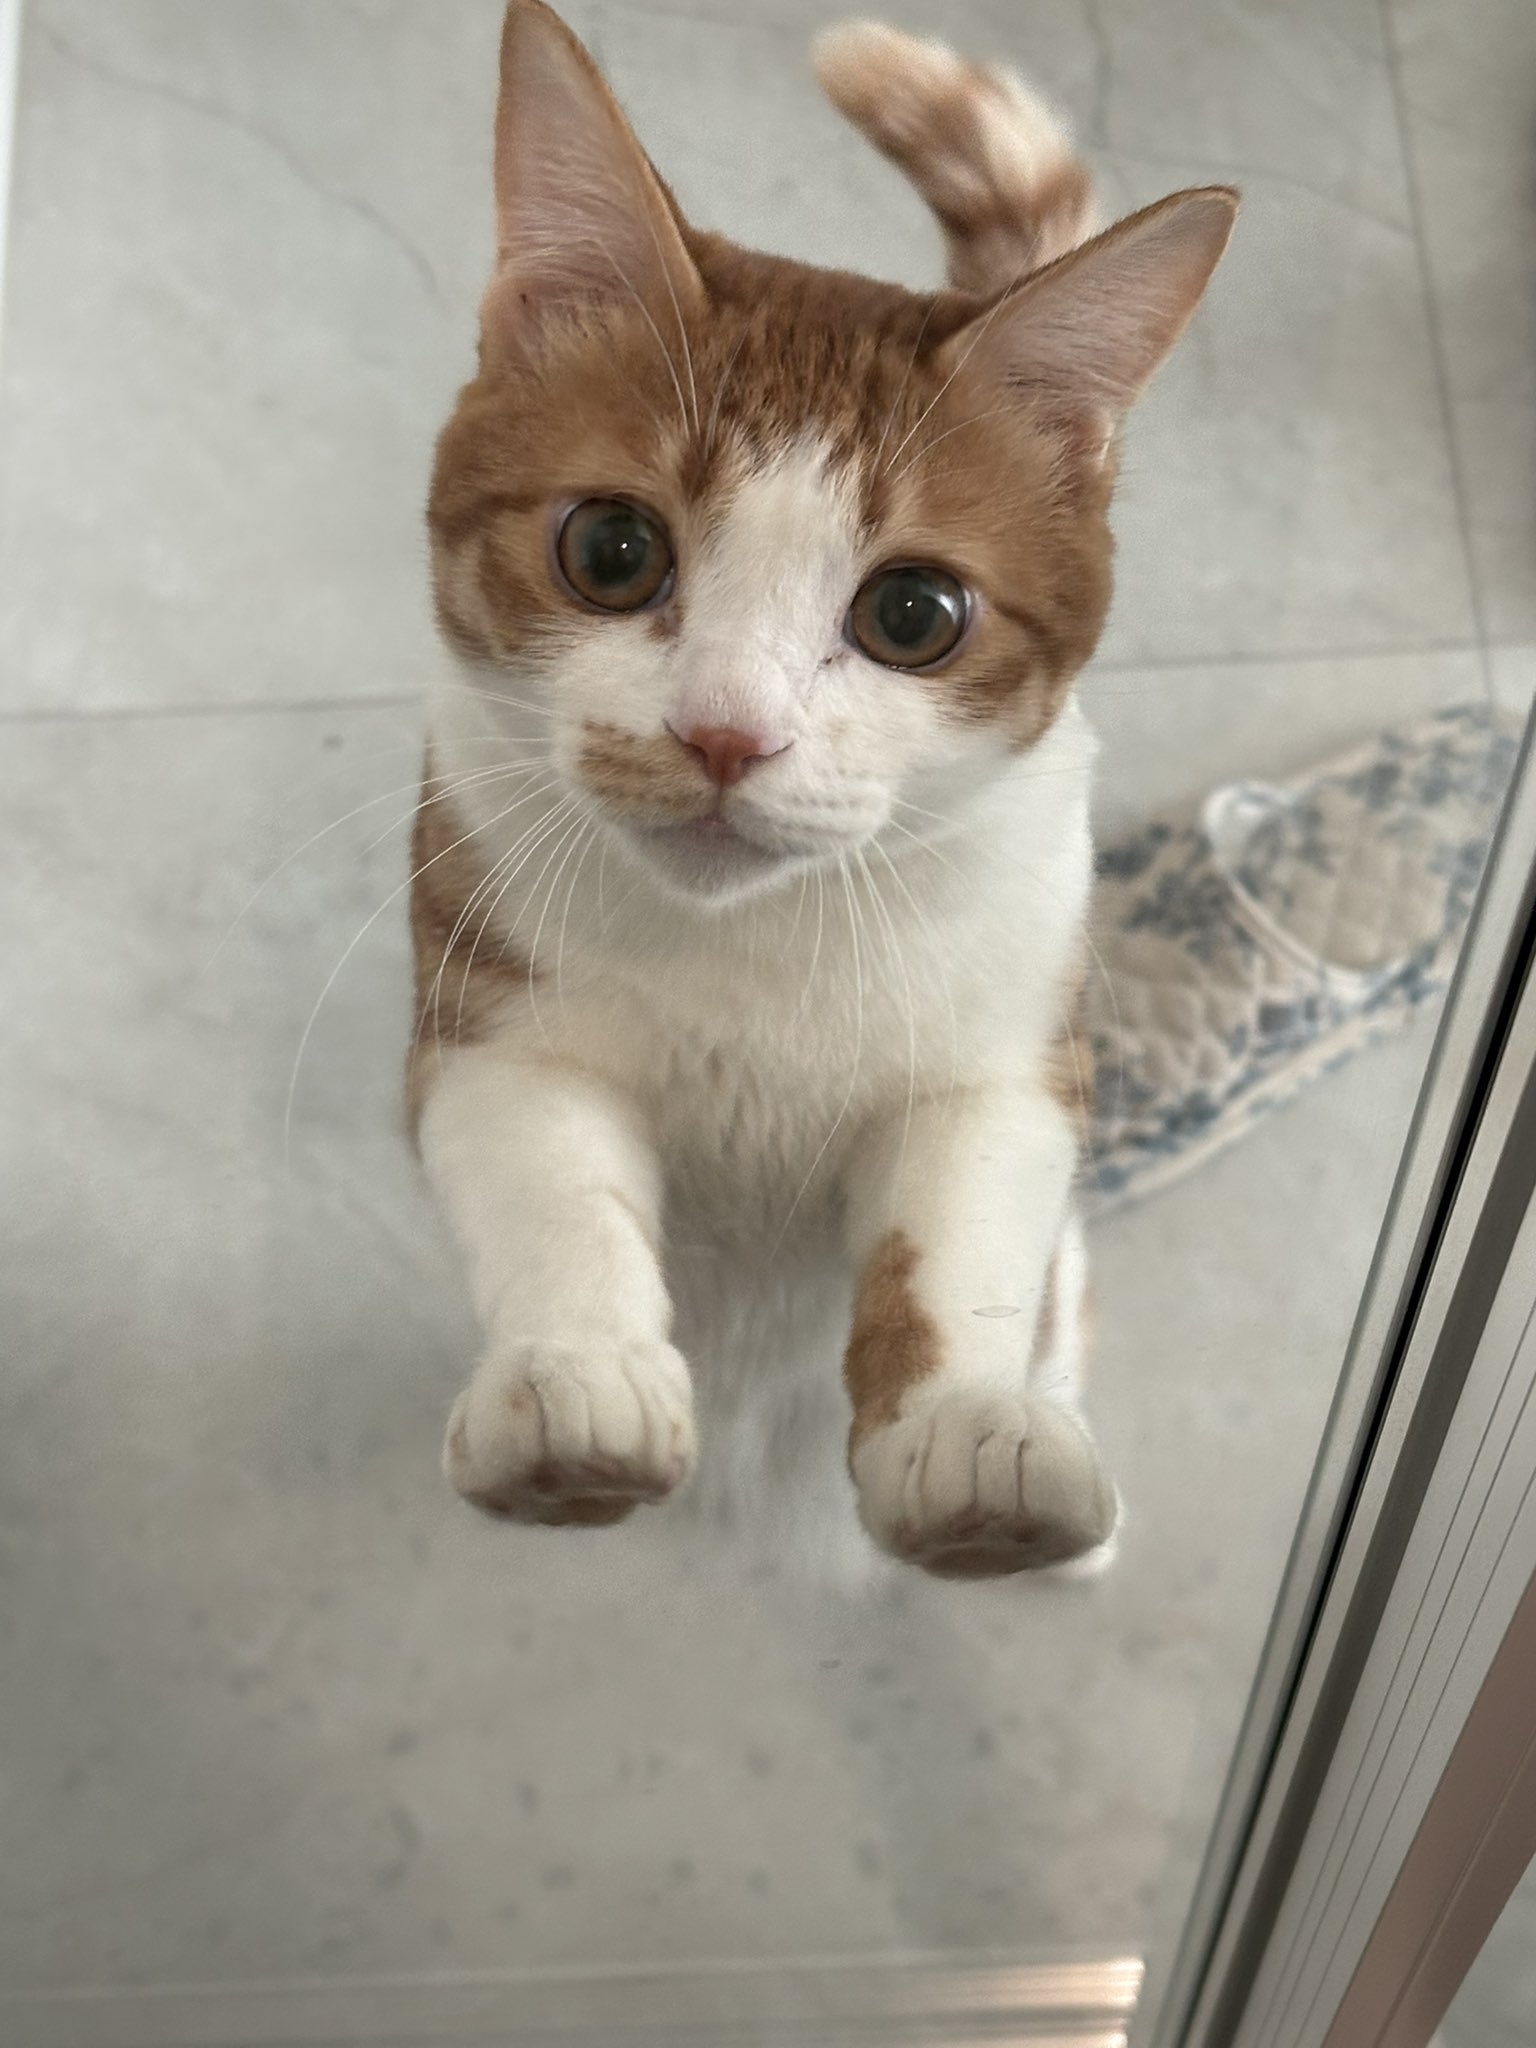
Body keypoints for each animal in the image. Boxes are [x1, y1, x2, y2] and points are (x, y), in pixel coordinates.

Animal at [409, 1, 1234, 1579]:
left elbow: (958, 1241)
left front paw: (967, 1431)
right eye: (611, 550)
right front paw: (577, 1379)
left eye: (914, 613)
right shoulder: (488, 994)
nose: (728, 735)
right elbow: (549, 1176)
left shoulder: (1009, 1046)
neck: (754, 951)